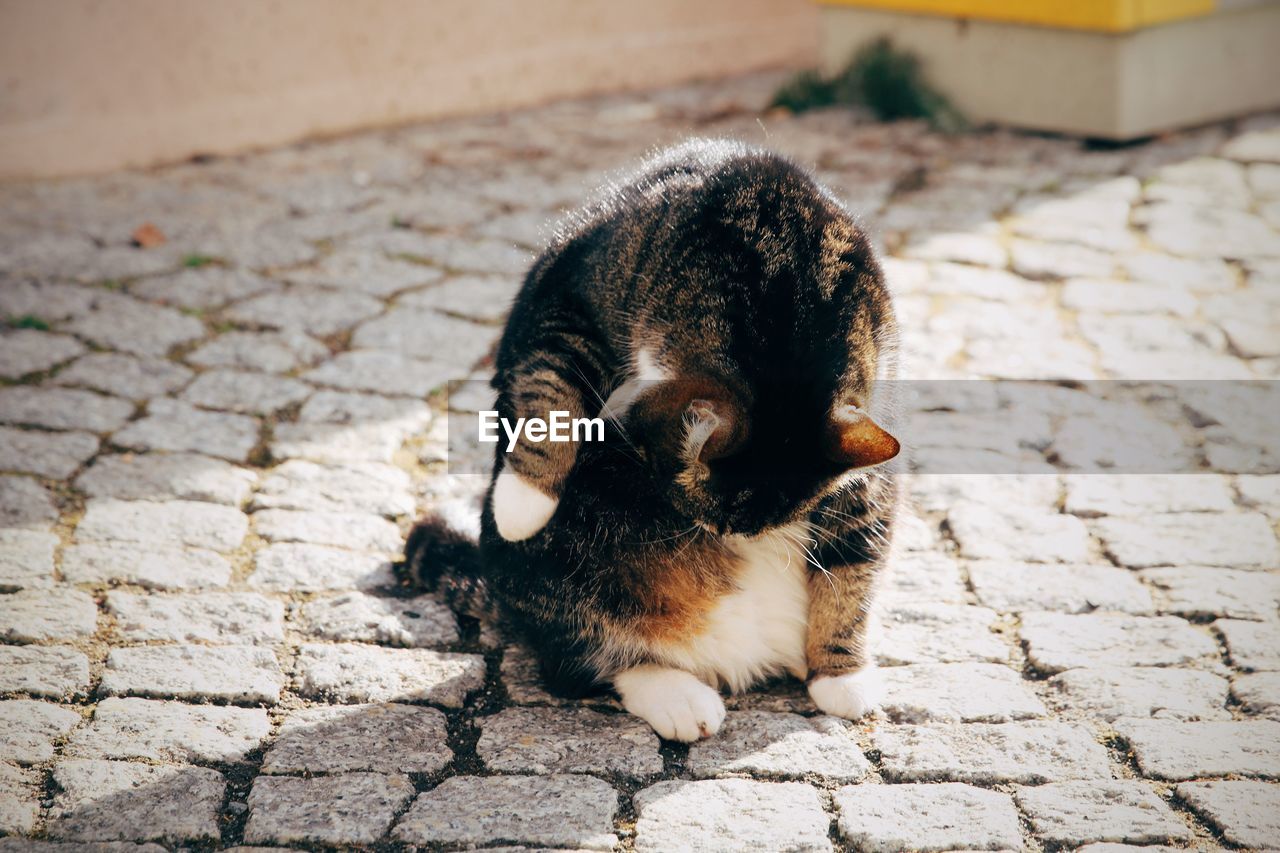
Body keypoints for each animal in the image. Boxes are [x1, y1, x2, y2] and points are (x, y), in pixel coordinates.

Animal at [407, 139, 901, 737]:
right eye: (703, 513)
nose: (728, 538)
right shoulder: (567, 302)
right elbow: (550, 382)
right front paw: (522, 504)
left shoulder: (868, 476)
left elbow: (853, 571)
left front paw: (842, 677)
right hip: (559, 577)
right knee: (586, 661)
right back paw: (680, 698)